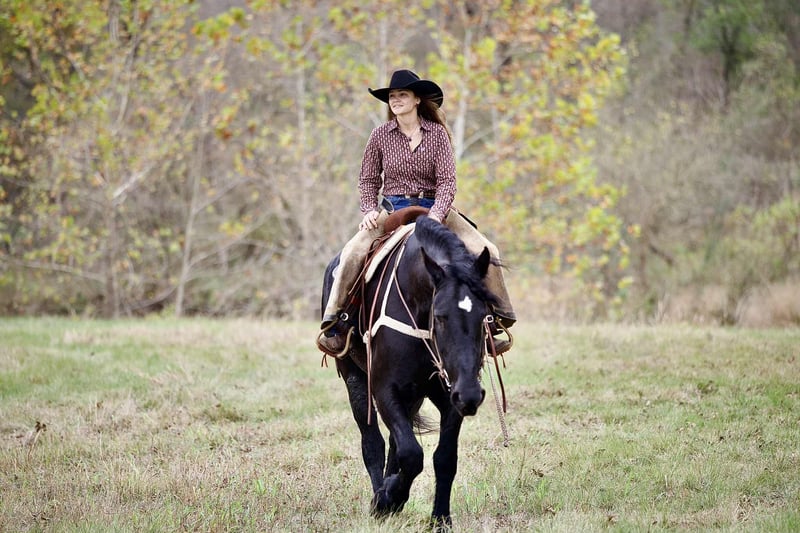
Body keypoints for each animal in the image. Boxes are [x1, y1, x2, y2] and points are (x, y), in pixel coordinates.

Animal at [320, 214, 500, 527]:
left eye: (485, 315)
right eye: (440, 316)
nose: (471, 395)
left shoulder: (449, 397)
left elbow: (443, 458)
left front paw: (440, 519)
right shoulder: (384, 390)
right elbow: (411, 453)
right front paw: (386, 499)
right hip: (356, 380)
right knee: (373, 443)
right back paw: (381, 495)